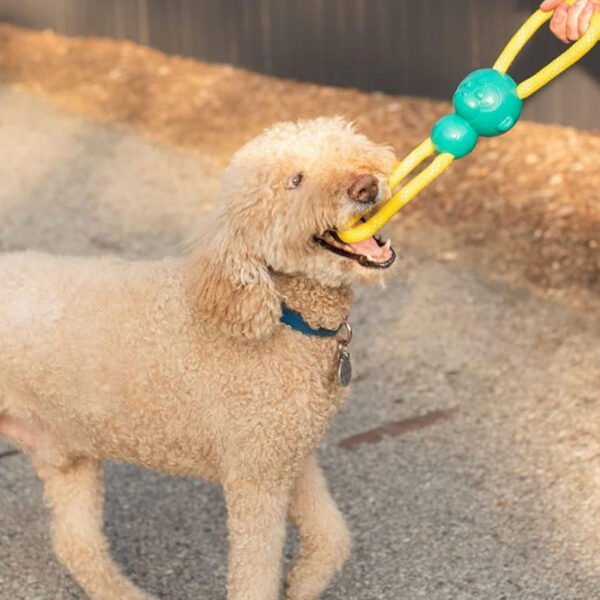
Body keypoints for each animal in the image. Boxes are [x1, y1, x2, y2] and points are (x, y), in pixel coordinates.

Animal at [0, 118, 398, 600]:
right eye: (295, 180)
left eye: (344, 149)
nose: (365, 185)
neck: (283, 315)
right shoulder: (255, 477)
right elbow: (254, 577)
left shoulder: (287, 454)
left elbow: (333, 535)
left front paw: (302, 582)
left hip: (68, 451)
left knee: (75, 543)